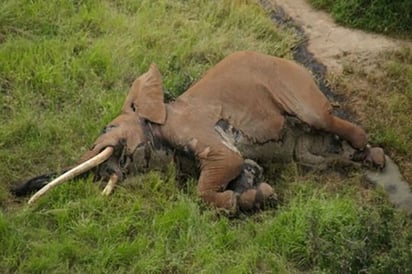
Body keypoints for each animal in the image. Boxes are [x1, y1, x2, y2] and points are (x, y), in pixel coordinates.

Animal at [13, 50, 386, 212]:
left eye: (109, 127)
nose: (18, 192)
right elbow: (245, 167)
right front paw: (257, 195)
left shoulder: (191, 127)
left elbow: (225, 164)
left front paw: (239, 203)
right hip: (304, 146)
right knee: (312, 156)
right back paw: (363, 160)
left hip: (294, 85)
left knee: (322, 118)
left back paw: (371, 154)